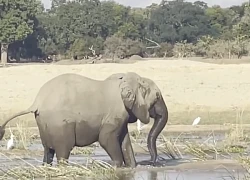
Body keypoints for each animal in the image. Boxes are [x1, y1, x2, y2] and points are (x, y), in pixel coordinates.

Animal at [0, 71, 167, 167]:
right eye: (157, 96)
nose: (150, 163)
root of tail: (37, 102)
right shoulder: (113, 115)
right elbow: (106, 139)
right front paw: (117, 167)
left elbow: (124, 141)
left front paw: (131, 167)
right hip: (59, 124)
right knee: (63, 151)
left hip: (43, 122)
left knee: (48, 152)